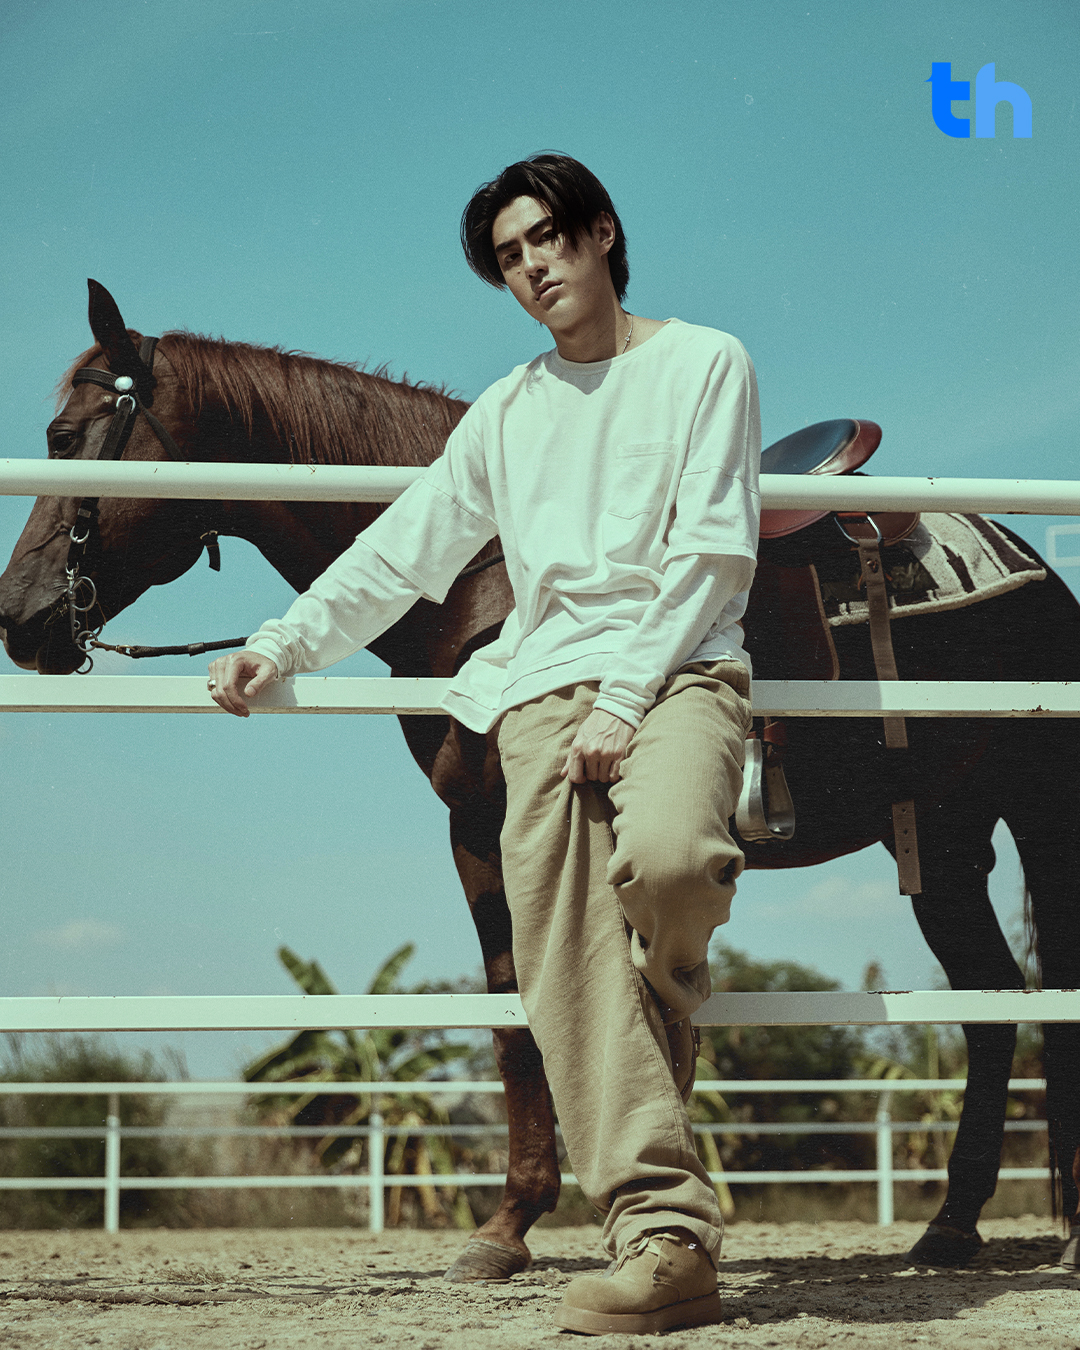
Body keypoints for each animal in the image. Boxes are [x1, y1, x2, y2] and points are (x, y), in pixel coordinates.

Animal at [2, 282, 1078, 1276]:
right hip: (945, 840)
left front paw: (543, 1216)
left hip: (1030, 820)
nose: (18, 616)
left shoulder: (513, 820)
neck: (483, 583)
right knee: (991, 1006)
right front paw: (520, 1223)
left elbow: (552, 1007)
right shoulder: (480, 832)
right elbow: (518, 1008)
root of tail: (1031, 563)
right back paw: (951, 1228)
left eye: (62, 434)